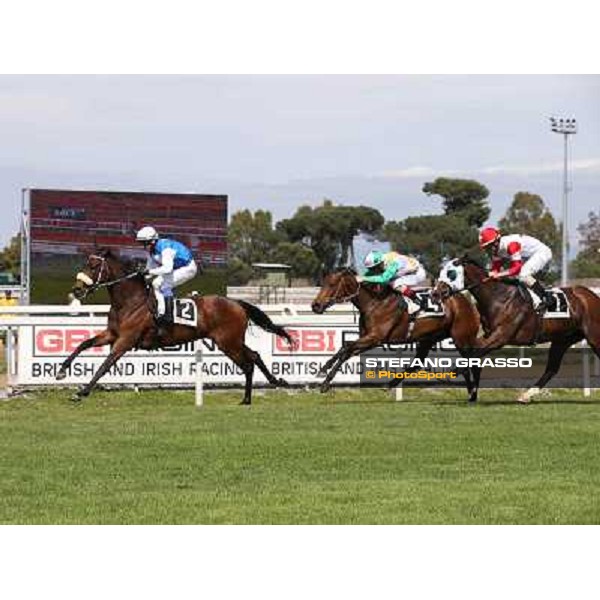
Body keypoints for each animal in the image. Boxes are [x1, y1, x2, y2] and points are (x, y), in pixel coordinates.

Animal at [61, 248, 296, 404]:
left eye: (93, 266)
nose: (77, 289)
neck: (131, 302)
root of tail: (237, 303)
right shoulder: (112, 334)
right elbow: (83, 344)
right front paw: (62, 371)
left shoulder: (125, 341)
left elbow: (105, 364)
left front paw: (81, 392)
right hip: (231, 341)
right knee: (254, 356)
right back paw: (268, 385)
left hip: (228, 342)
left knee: (248, 363)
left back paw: (250, 396)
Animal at [310, 266, 482, 398]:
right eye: (323, 283)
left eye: (332, 284)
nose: (315, 306)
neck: (374, 303)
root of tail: (466, 300)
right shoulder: (368, 338)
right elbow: (346, 348)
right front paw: (323, 371)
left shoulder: (375, 337)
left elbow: (347, 348)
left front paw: (324, 380)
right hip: (429, 338)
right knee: (418, 363)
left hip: (461, 337)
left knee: (471, 360)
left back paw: (472, 391)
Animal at [438, 254, 600, 404]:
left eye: (451, 273)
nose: (436, 292)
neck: (498, 296)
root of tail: (592, 296)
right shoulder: (488, 335)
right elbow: (472, 354)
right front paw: (471, 391)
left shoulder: (500, 337)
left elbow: (471, 357)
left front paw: (454, 375)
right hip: (562, 340)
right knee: (552, 369)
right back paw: (526, 395)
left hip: (593, 337)